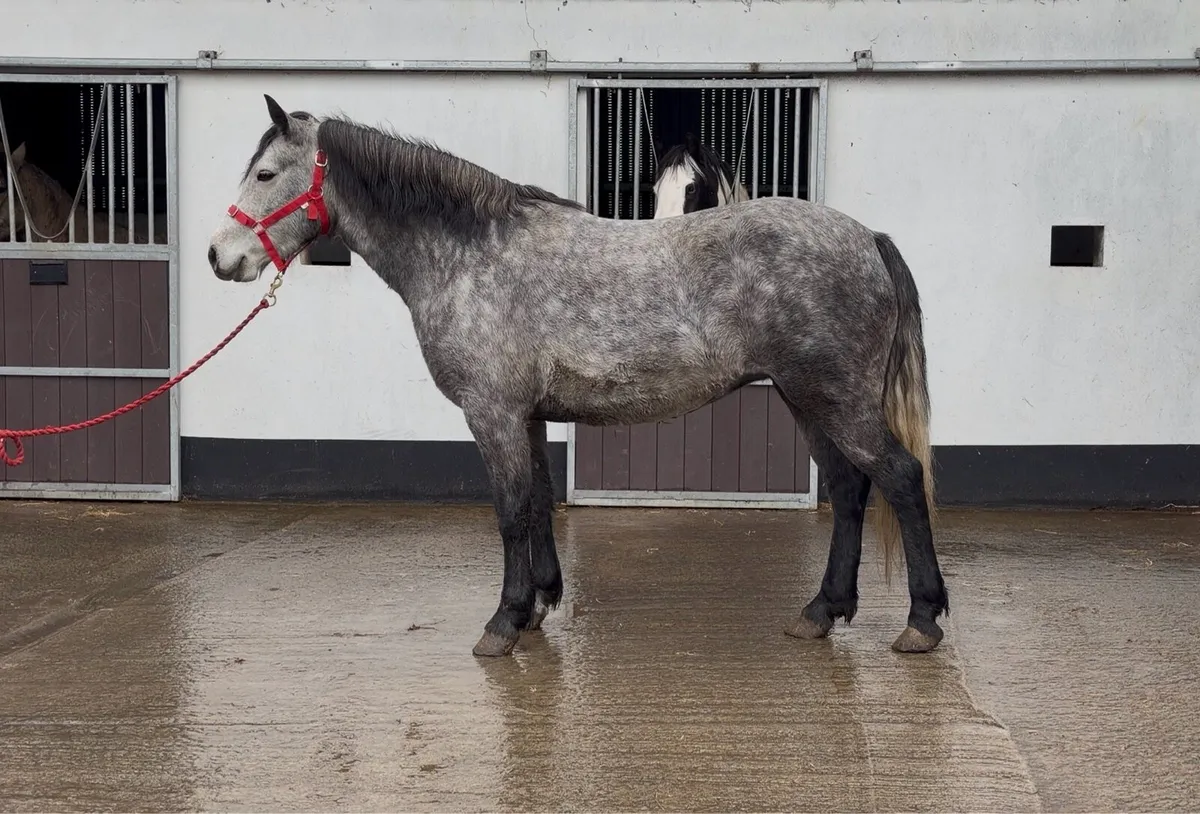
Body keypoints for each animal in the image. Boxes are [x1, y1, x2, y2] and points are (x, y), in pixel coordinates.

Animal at [207, 95, 948, 659]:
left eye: (266, 174)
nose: (220, 256)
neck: (469, 254)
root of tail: (868, 238)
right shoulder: (528, 416)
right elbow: (537, 503)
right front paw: (538, 605)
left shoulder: (493, 413)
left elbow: (509, 509)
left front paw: (503, 622)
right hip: (807, 399)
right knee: (850, 489)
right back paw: (821, 611)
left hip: (835, 398)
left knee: (899, 478)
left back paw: (921, 620)